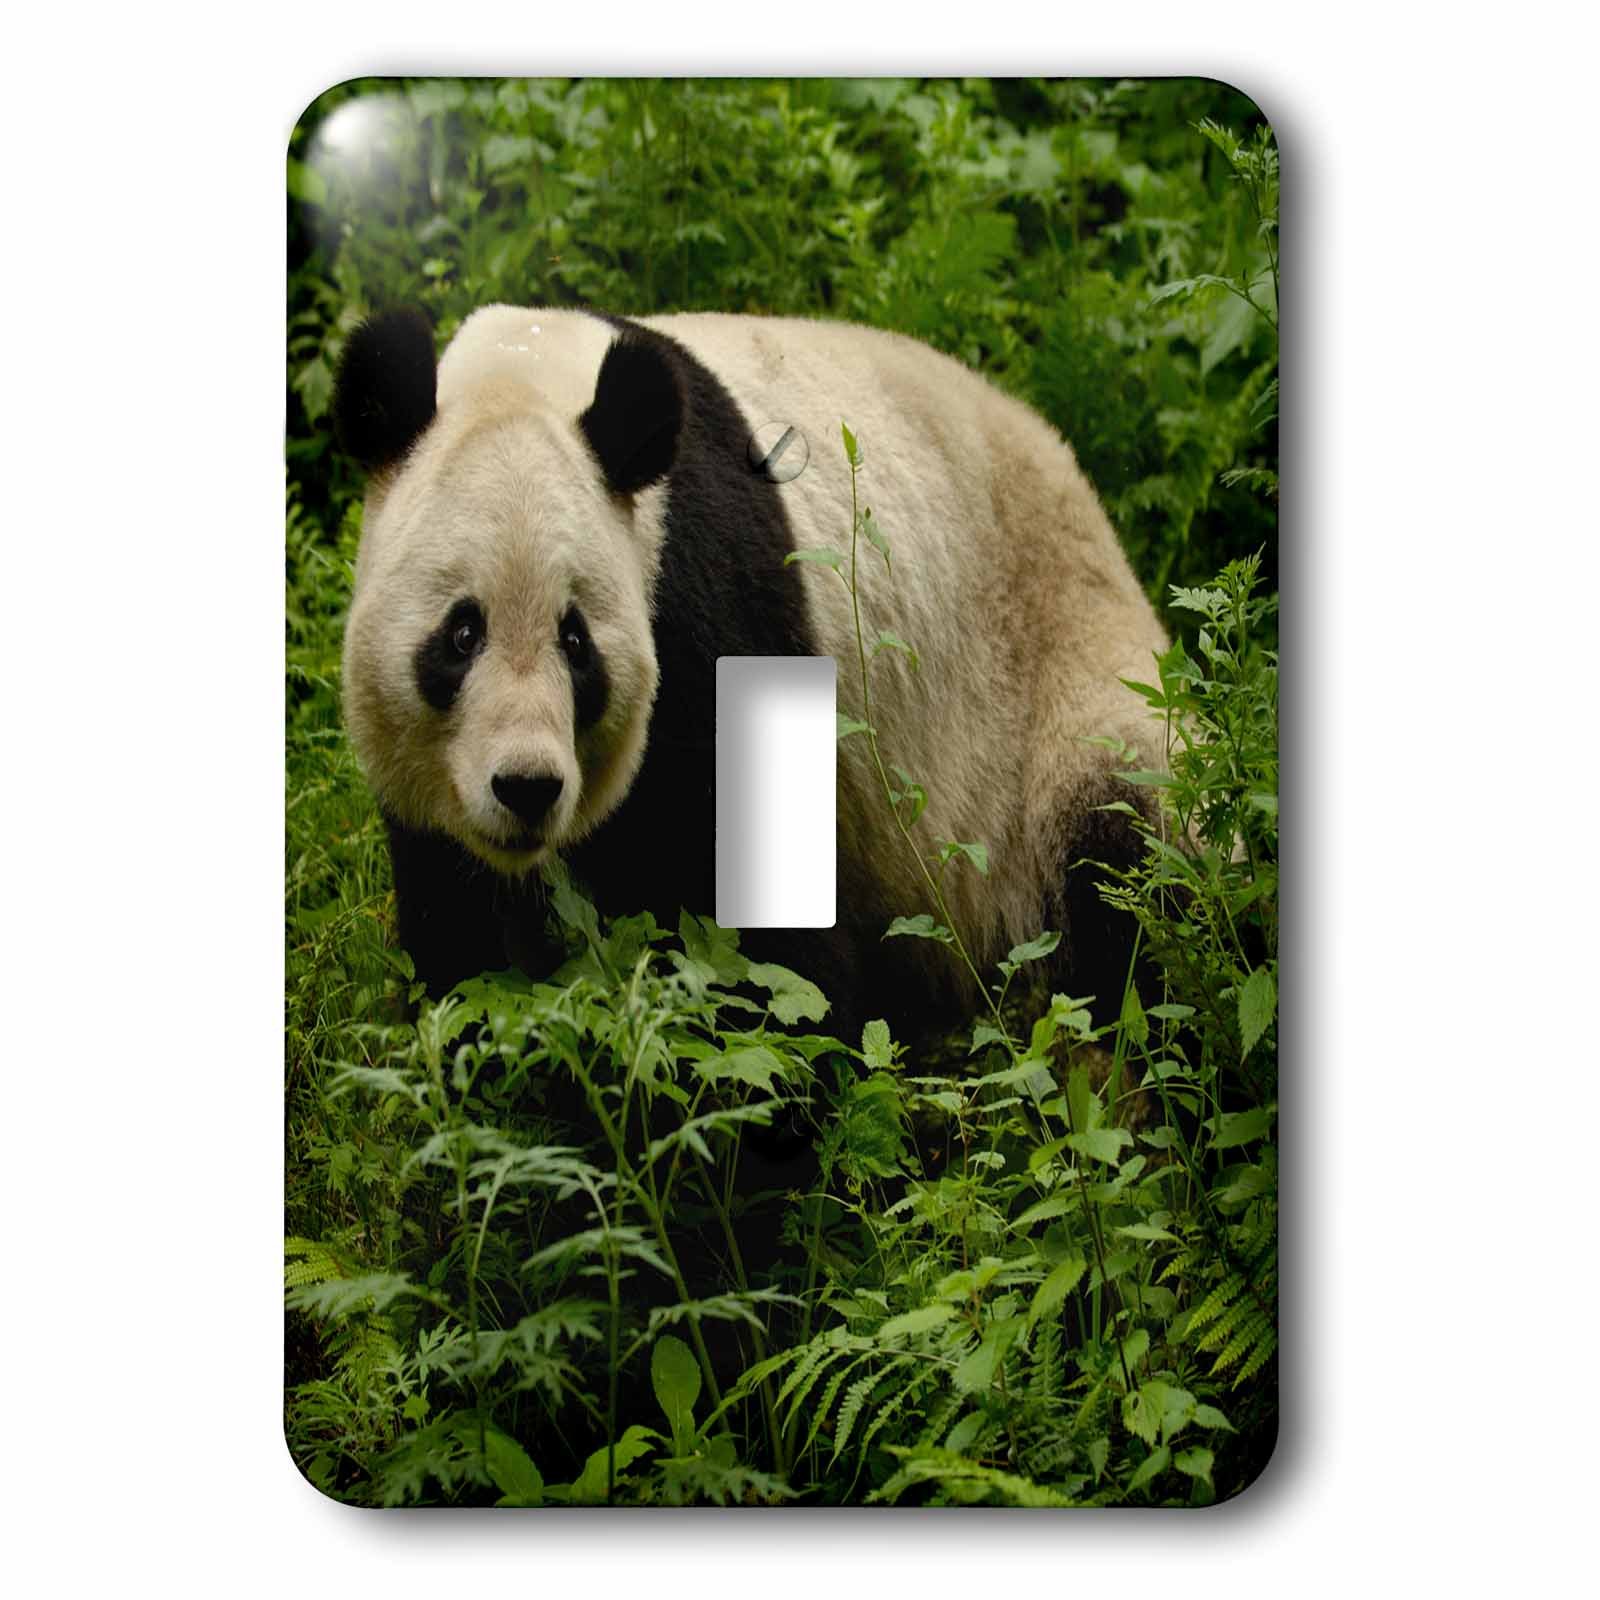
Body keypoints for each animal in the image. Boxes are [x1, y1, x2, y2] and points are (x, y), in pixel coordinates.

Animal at [333, 305, 1169, 1039]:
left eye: (576, 641)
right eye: (461, 633)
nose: (527, 787)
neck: (527, 369)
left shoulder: (708, 604)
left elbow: (752, 922)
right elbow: (461, 929)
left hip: (1060, 671)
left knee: (1131, 861)